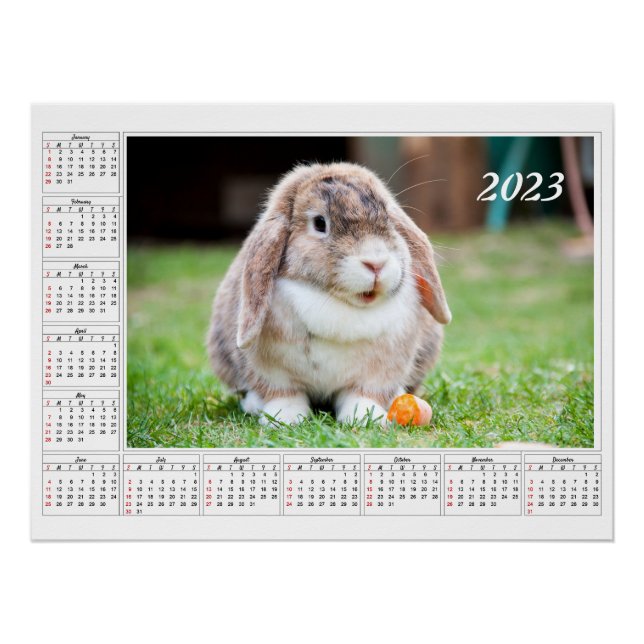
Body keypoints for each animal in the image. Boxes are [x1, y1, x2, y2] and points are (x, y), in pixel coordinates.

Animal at [207, 162, 451, 426]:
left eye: (387, 217)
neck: (338, 303)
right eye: (319, 223)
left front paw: (365, 417)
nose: (376, 263)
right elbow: (284, 394)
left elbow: (362, 394)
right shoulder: (272, 372)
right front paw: (284, 418)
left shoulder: (378, 373)